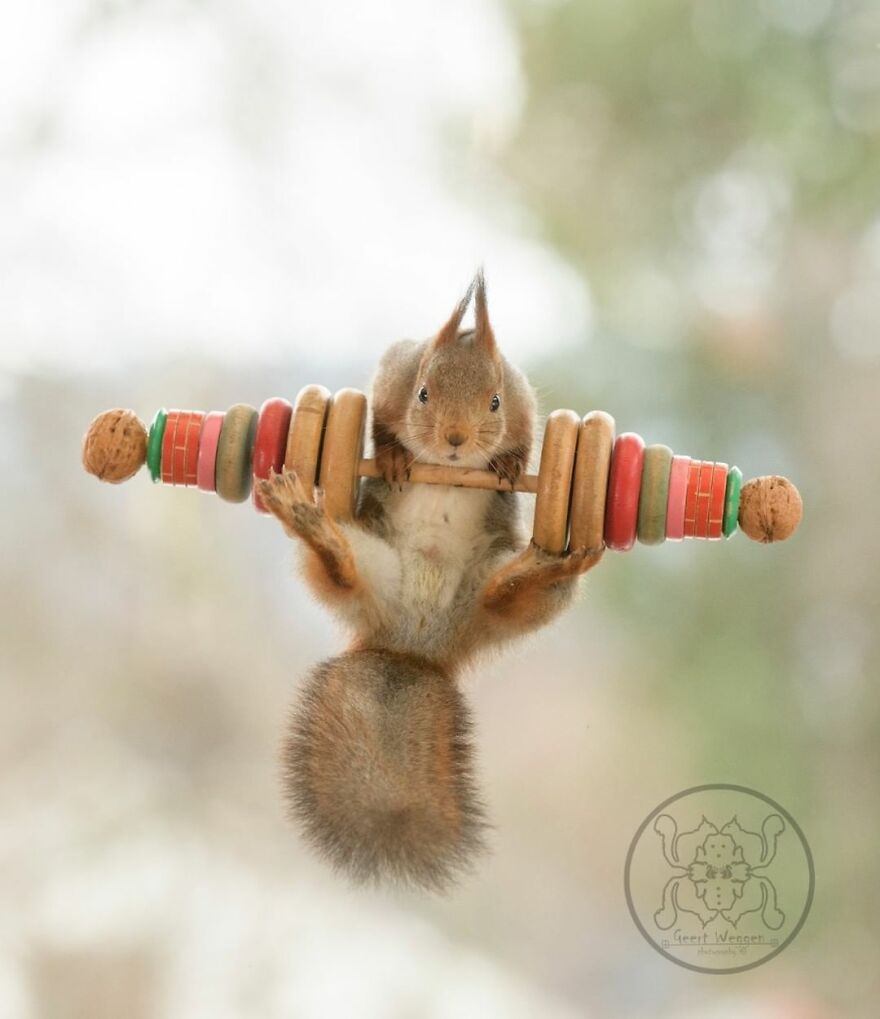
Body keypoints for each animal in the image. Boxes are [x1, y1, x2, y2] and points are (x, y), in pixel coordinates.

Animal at [255, 270, 603, 892]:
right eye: (422, 393)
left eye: (495, 400)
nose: (456, 440)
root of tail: (413, 646)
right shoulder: (391, 375)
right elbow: (380, 423)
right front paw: (395, 456)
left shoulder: (526, 404)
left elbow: (525, 441)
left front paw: (509, 467)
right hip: (368, 560)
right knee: (338, 568)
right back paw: (312, 525)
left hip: (496, 594)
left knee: (508, 596)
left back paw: (542, 568)